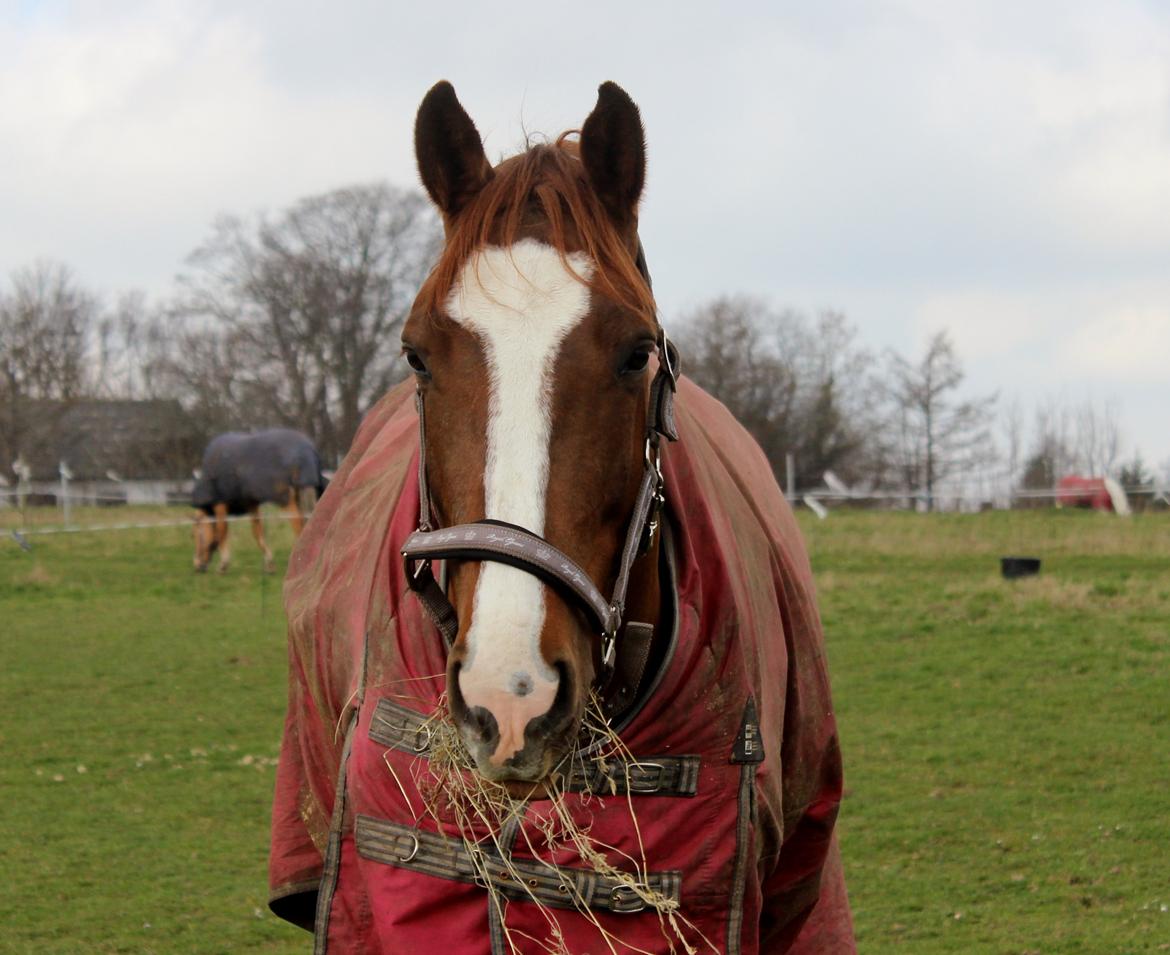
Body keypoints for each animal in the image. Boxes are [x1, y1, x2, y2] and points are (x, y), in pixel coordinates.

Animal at [189, 426, 325, 573]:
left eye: (195, 534)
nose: (197, 566)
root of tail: (307, 449)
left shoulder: (220, 504)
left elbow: (222, 531)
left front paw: (223, 565)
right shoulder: (251, 503)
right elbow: (257, 532)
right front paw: (269, 564)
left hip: (287, 500)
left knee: (299, 524)